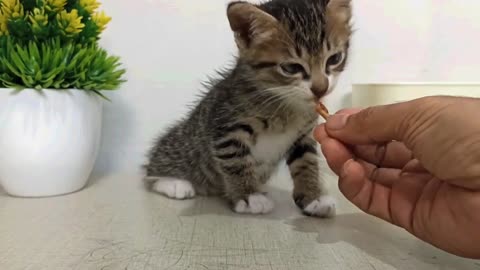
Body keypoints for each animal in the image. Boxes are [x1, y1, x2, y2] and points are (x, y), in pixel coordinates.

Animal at [143, 0, 352, 216]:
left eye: (335, 58)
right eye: (292, 68)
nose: (321, 89)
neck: (285, 102)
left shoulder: (303, 135)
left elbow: (306, 162)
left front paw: (313, 197)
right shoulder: (225, 128)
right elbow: (236, 161)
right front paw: (250, 196)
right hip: (183, 147)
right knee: (155, 169)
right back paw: (175, 184)